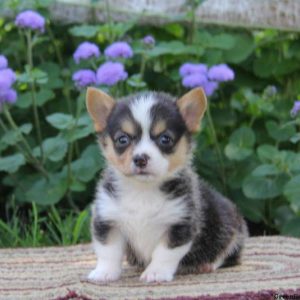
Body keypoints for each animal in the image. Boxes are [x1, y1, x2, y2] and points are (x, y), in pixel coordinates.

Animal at [85, 87, 247, 284]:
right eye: (122, 139)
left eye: (165, 139)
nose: (140, 159)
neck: (143, 190)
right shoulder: (108, 219)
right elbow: (108, 251)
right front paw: (104, 272)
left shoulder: (180, 224)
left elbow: (164, 253)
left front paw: (156, 273)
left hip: (231, 228)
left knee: (227, 254)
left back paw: (206, 264)